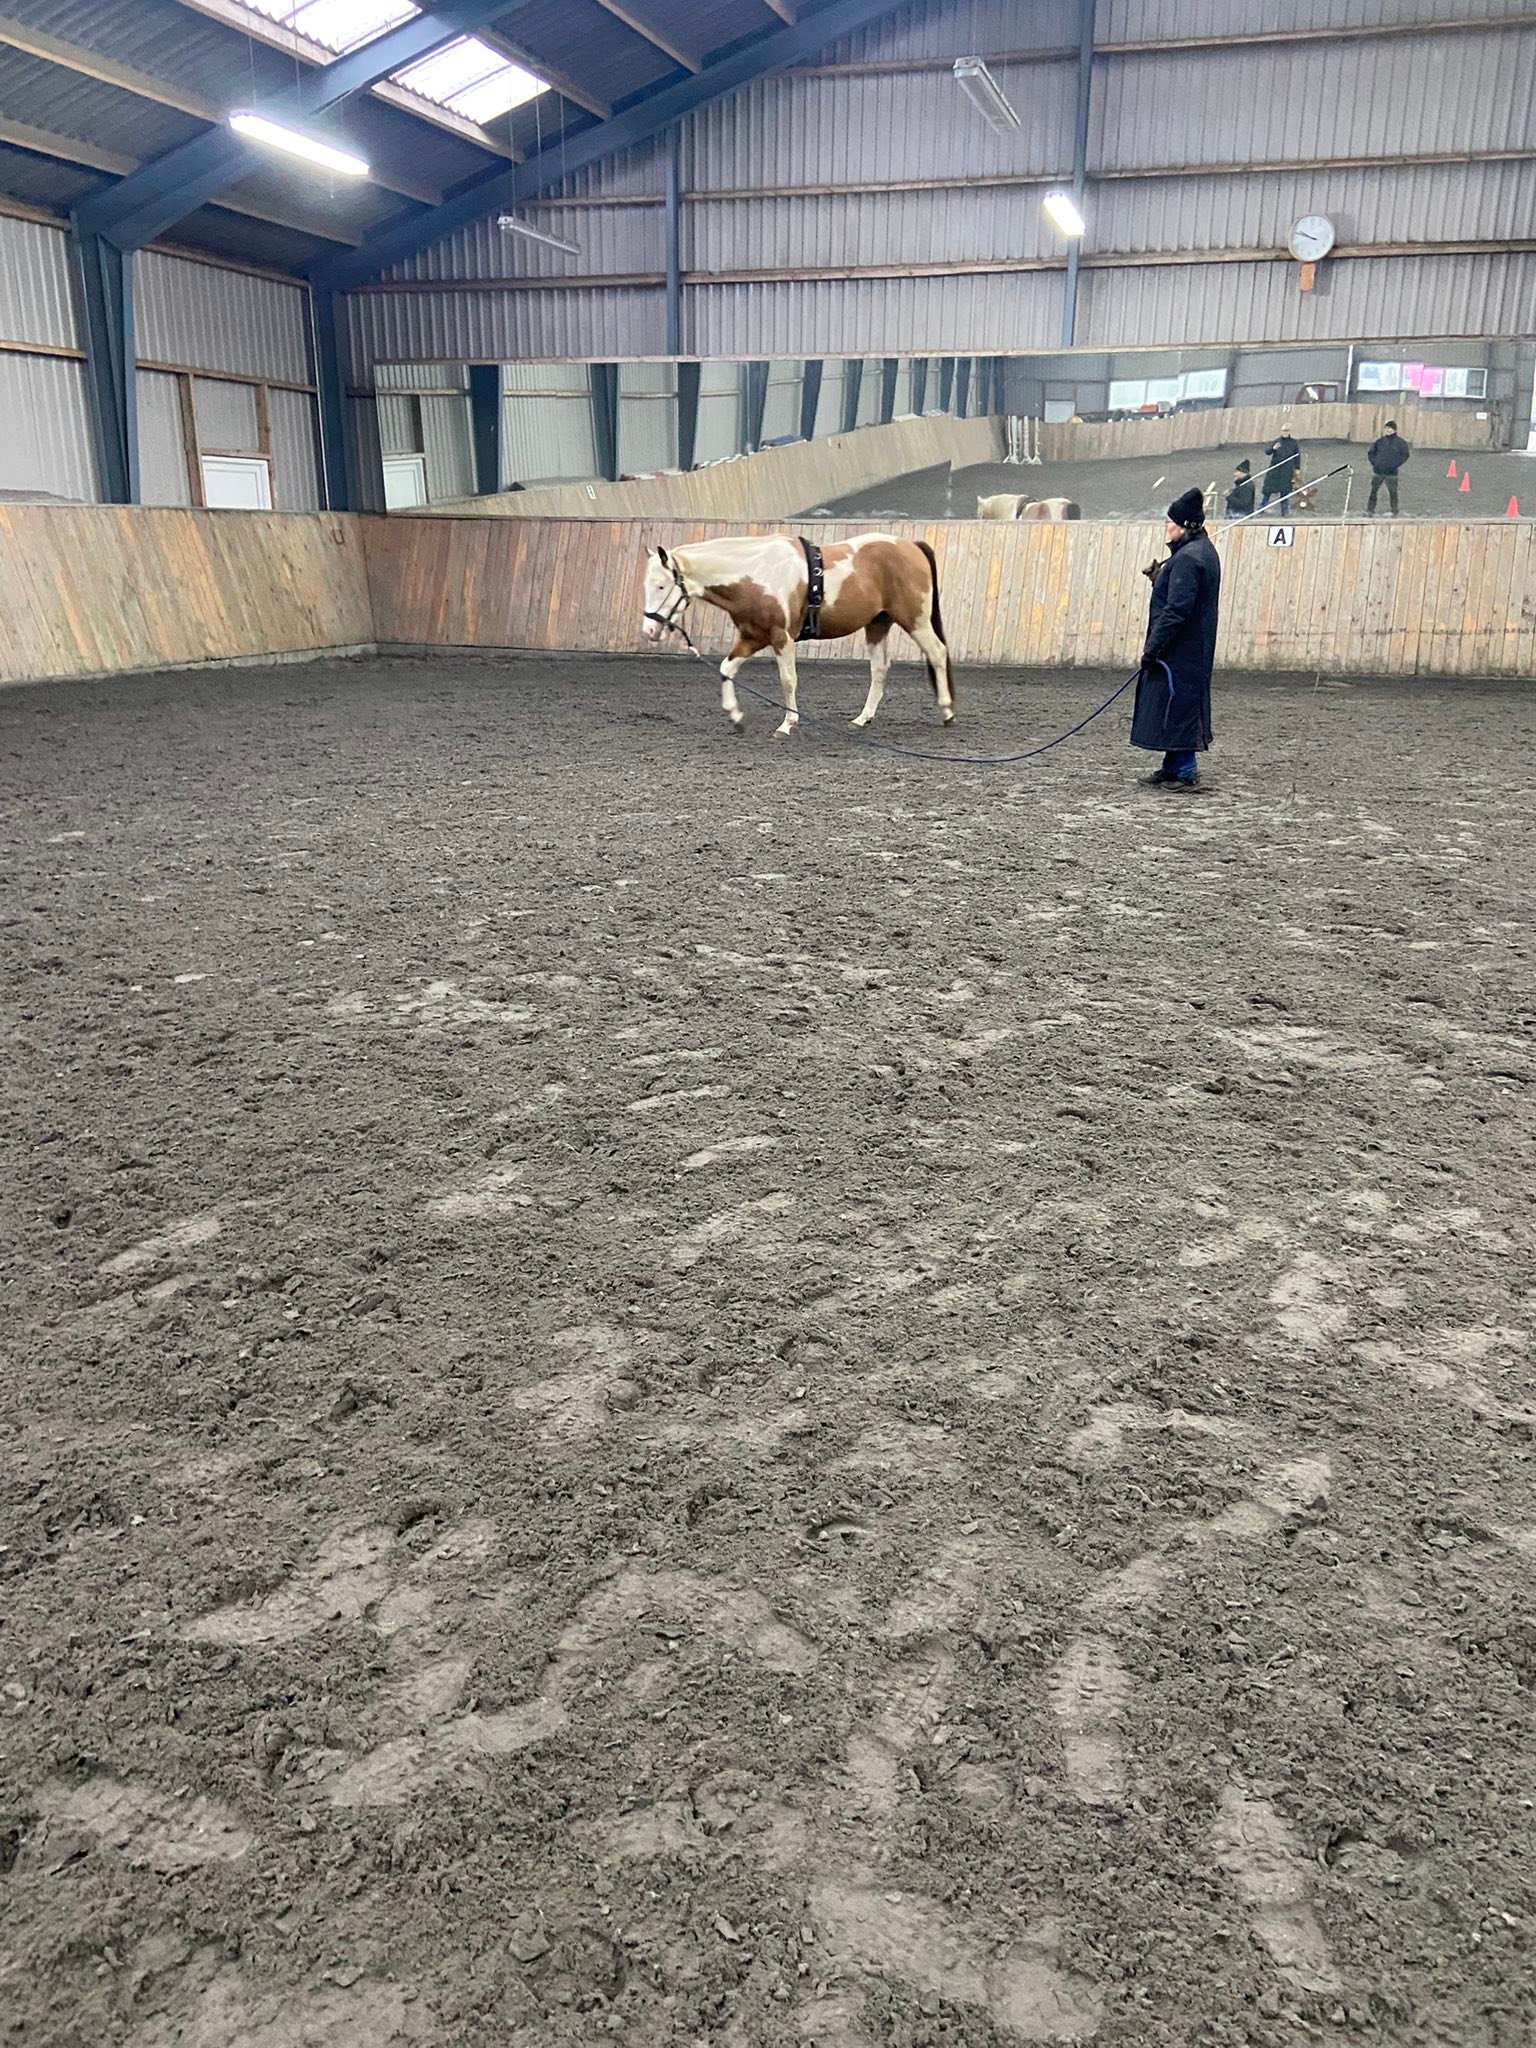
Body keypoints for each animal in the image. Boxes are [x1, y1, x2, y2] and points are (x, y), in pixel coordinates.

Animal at [640, 532, 954, 740]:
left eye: (661, 586)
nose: (649, 630)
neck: (756, 573)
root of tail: (910, 545)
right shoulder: (752, 636)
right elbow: (726, 669)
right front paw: (736, 716)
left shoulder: (781, 637)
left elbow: (788, 680)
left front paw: (787, 724)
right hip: (877, 625)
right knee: (879, 669)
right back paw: (861, 719)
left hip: (915, 621)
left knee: (937, 652)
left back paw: (947, 712)